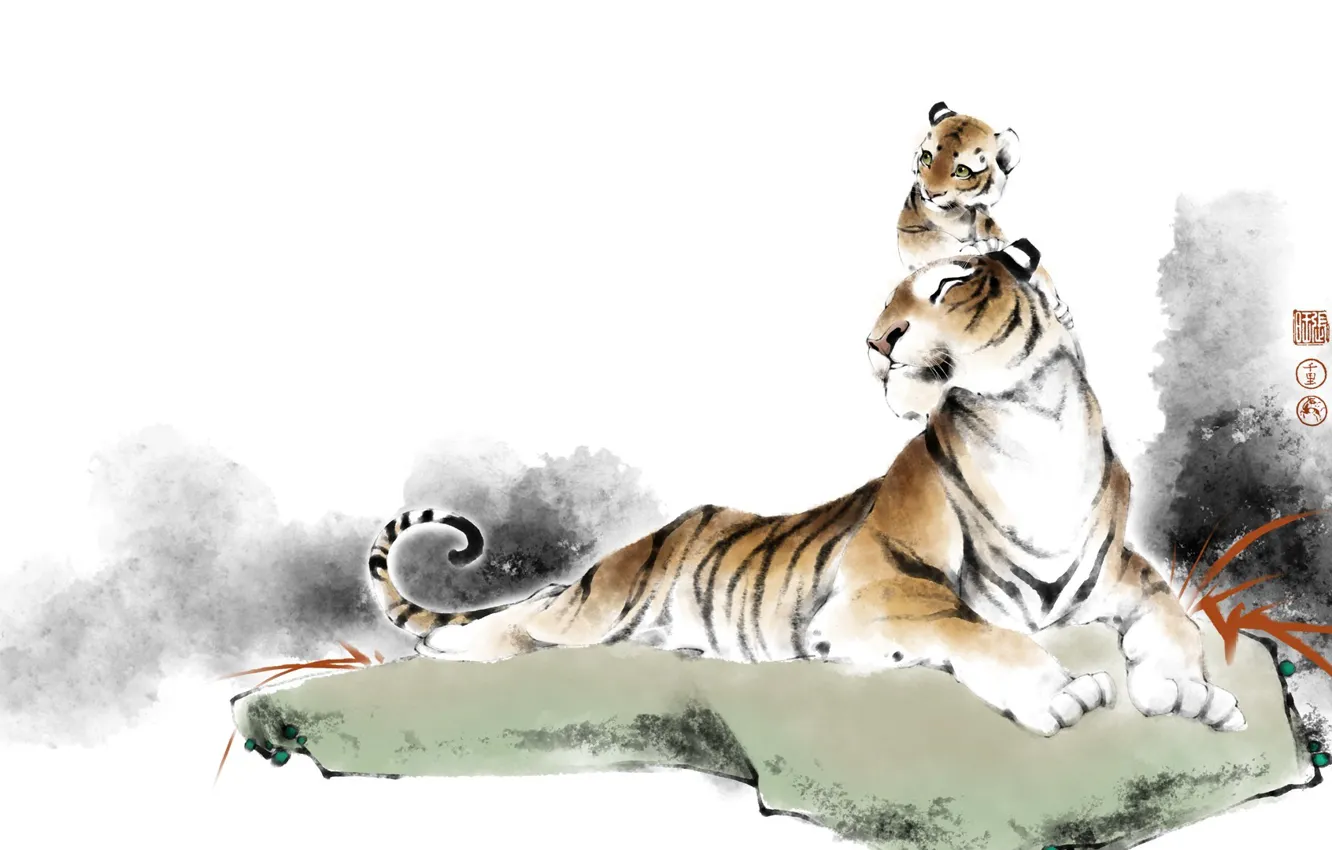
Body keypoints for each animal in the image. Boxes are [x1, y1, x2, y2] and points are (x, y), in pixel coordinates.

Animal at [365, 239, 1244, 737]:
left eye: (949, 284)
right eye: (887, 302)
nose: (876, 342)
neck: (1034, 427)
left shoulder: (1123, 576)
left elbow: (1175, 618)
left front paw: (1185, 695)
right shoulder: (880, 594)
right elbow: (972, 628)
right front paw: (1058, 693)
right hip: (597, 607)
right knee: (521, 621)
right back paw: (452, 645)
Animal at [898, 101, 1075, 332]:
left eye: (962, 171)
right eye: (927, 157)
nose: (930, 192)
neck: (957, 215)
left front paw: (1060, 308)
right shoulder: (911, 232)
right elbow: (935, 243)